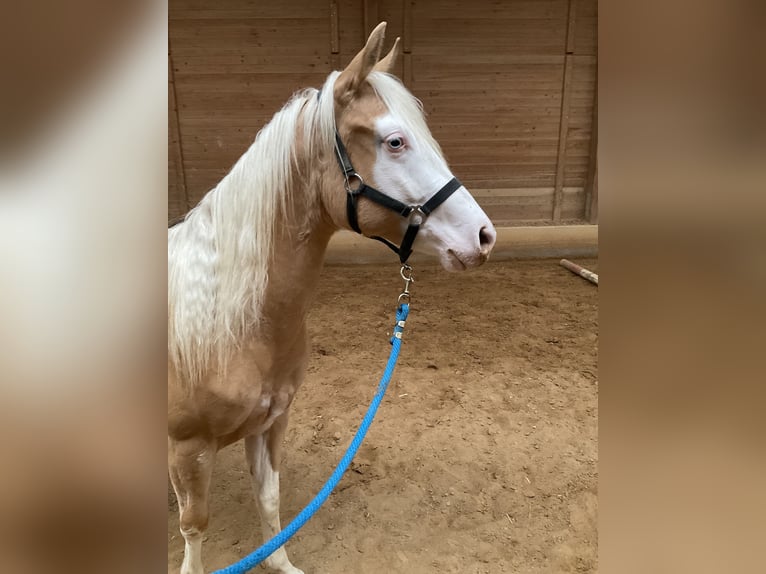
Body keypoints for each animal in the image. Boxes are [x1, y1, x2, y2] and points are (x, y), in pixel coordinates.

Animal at [168, 22, 497, 574]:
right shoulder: (187, 449)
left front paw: (279, 563)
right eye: (394, 141)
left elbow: (270, 499)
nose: (484, 237)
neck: (225, 318)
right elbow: (194, 527)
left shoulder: (271, 423)